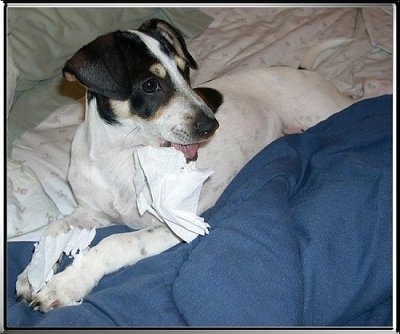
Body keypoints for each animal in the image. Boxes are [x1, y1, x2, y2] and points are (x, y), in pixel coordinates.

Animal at [15, 18, 354, 312]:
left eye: (185, 72)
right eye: (150, 85)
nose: (211, 126)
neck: (123, 157)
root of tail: (302, 70)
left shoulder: (176, 223)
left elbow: (115, 242)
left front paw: (67, 284)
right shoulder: (89, 212)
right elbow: (54, 228)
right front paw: (34, 272)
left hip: (326, 111)